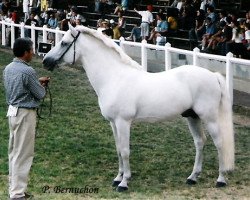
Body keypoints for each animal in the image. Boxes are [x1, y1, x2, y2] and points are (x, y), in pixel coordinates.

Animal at [42, 25, 234, 192]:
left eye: (64, 43)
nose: (46, 61)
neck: (114, 78)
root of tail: (213, 76)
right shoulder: (113, 123)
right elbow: (118, 149)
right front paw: (117, 178)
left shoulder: (123, 122)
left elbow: (126, 151)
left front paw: (124, 182)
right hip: (192, 117)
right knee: (200, 142)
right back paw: (193, 177)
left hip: (209, 118)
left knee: (219, 143)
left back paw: (221, 179)